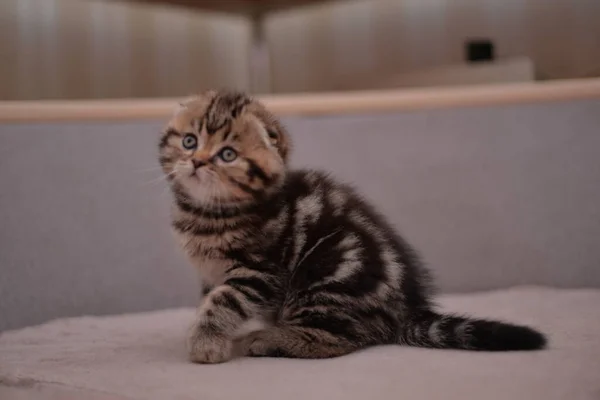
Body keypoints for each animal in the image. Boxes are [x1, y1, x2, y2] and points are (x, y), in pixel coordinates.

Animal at [157, 90, 548, 362]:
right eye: (189, 141)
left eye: (227, 155)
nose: (197, 161)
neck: (207, 213)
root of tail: (404, 309)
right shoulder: (212, 273)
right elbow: (211, 299)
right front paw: (211, 333)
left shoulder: (258, 272)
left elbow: (224, 302)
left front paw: (206, 344)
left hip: (328, 272)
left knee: (343, 337)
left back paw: (269, 339)